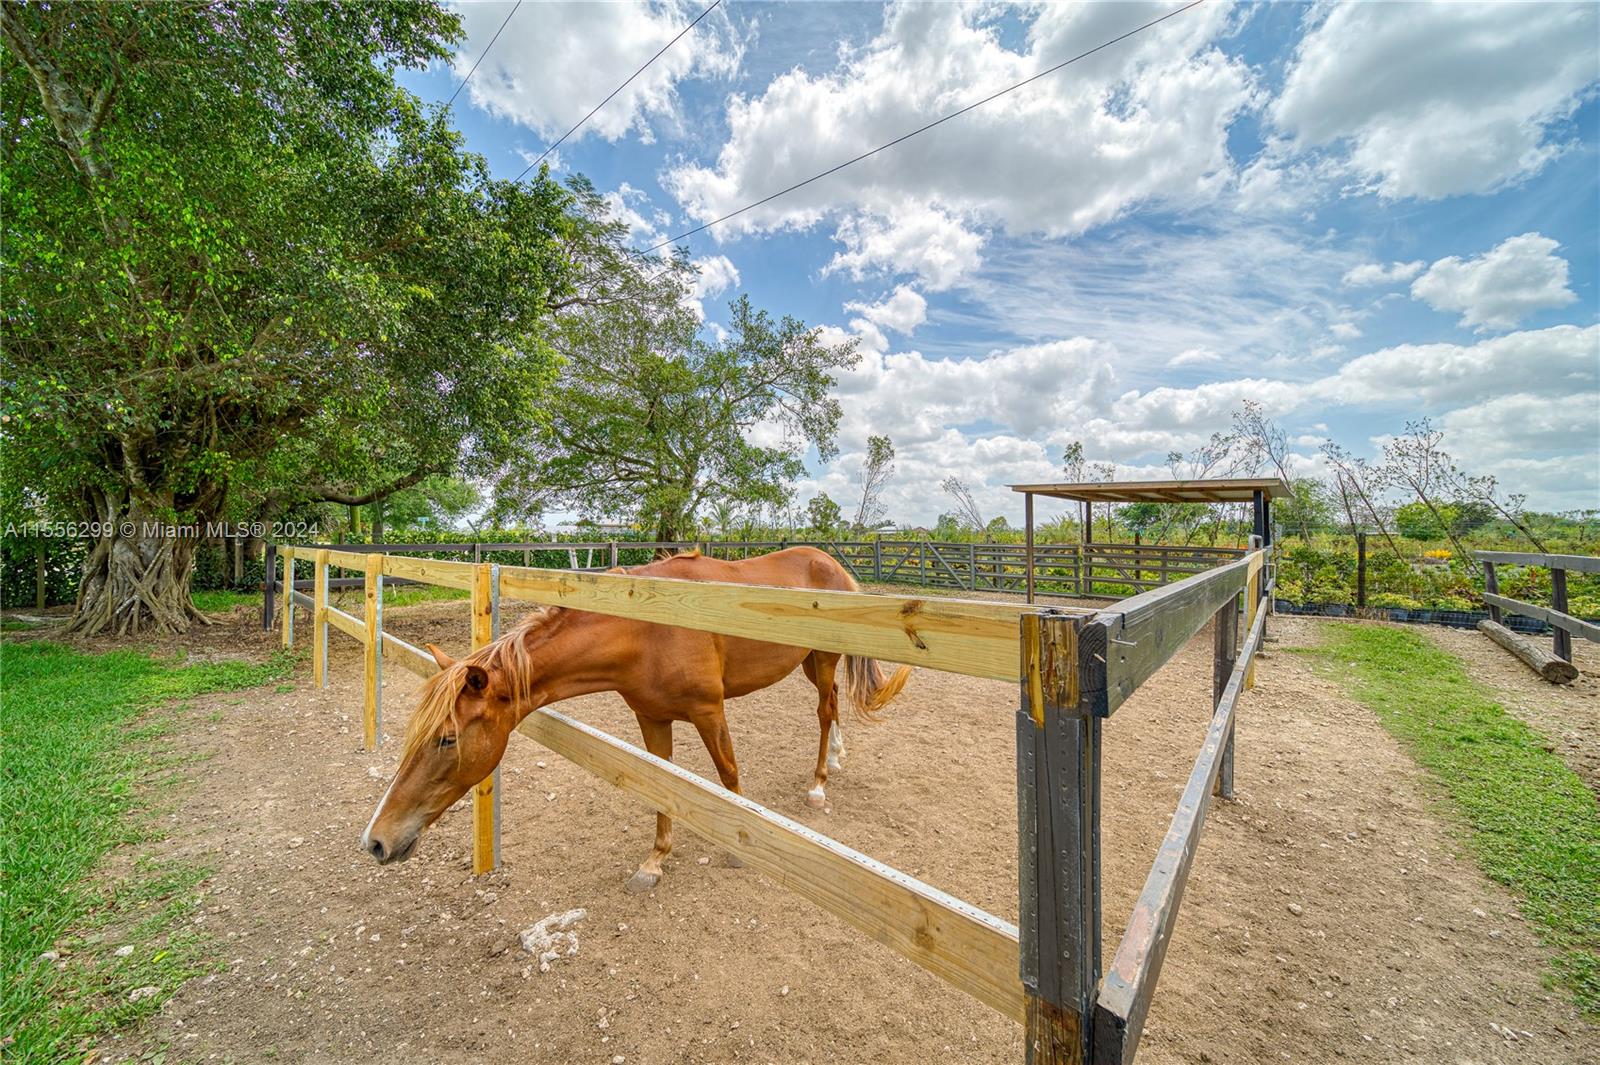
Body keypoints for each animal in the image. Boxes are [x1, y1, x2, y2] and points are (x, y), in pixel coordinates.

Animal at [364, 546, 915, 889]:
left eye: (446, 739)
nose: (377, 841)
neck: (645, 632)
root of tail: (831, 563)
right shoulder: (651, 718)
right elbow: (661, 783)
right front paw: (655, 862)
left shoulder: (709, 711)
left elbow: (728, 775)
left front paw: (738, 848)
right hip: (808, 662)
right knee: (834, 705)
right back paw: (837, 759)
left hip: (821, 660)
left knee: (824, 711)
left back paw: (819, 782)